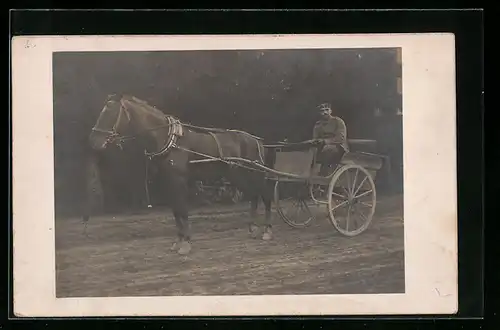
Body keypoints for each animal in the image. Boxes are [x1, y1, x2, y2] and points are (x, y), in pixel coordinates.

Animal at [86, 94, 274, 256]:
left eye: (110, 112)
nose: (93, 141)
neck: (169, 139)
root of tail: (257, 141)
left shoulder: (179, 180)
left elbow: (182, 210)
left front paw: (186, 243)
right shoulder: (167, 181)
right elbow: (176, 211)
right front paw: (179, 241)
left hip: (253, 174)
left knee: (265, 195)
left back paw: (267, 230)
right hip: (238, 176)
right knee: (254, 195)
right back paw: (253, 228)